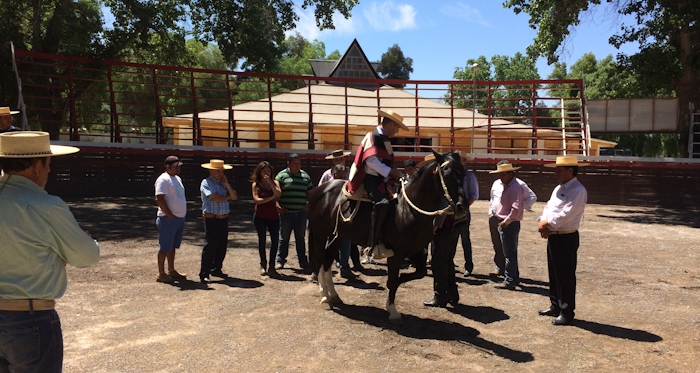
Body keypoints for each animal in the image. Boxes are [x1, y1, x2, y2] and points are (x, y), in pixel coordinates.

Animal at [308, 150, 464, 322]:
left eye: (463, 173)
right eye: (446, 172)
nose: (461, 206)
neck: (408, 209)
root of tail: (318, 190)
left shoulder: (416, 251)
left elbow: (417, 274)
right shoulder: (396, 253)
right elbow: (393, 280)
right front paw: (393, 310)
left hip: (337, 236)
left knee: (327, 261)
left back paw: (333, 295)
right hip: (320, 233)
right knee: (319, 259)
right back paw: (324, 297)